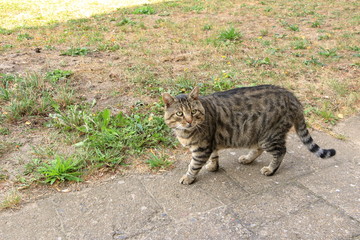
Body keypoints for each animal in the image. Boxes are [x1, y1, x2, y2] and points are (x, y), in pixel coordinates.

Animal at [162, 85, 336, 185]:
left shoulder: (202, 148)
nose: (189, 121)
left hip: (269, 136)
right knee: (258, 149)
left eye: (193, 112)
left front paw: (188, 177)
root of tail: (292, 96)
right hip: (256, 134)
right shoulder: (211, 144)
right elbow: (214, 156)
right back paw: (247, 158)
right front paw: (213, 166)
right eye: (179, 113)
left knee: (280, 151)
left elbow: (193, 165)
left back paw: (270, 169)